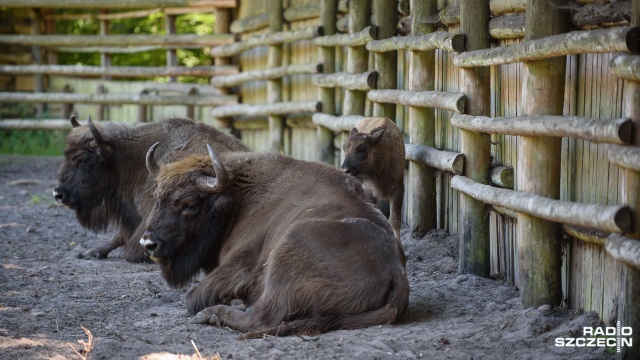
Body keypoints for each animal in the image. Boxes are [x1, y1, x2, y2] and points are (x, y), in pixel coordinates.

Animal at [53, 115, 249, 262]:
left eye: (82, 159)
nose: (58, 194)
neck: (129, 159)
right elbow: (119, 236)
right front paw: (90, 252)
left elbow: (130, 248)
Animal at [141, 143, 410, 338]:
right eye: (157, 196)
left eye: (189, 204)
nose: (149, 244)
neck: (238, 199)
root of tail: (394, 269)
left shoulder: (237, 267)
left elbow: (193, 297)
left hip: (288, 246)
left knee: (261, 318)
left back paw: (214, 313)